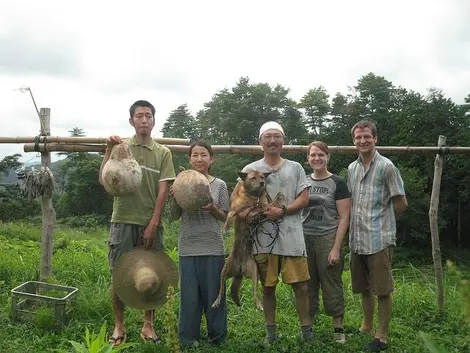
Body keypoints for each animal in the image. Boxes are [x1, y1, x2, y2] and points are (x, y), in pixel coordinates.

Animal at [211, 169, 284, 310]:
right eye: (253, 178)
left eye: (262, 177)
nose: (262, 183)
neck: (253, 197)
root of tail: (239, 269)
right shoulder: (237, 209)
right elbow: (231, 215)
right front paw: (225, 229)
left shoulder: (264, 207)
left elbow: (269, 204)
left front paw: (280, 197)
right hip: (224, 271)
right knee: (221, 290)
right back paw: (216, 301)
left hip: (255, 273)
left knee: (255, 293)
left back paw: (259, 305)